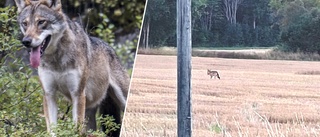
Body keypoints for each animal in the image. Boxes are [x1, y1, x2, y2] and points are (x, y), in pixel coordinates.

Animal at [13, 0, 129, 135]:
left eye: (41, 22)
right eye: (25, 24)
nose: (26, 41)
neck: (56, 61)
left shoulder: (77, 94)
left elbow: (76, 130)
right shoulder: (49, 94)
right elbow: (52, 129)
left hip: (121, 100)